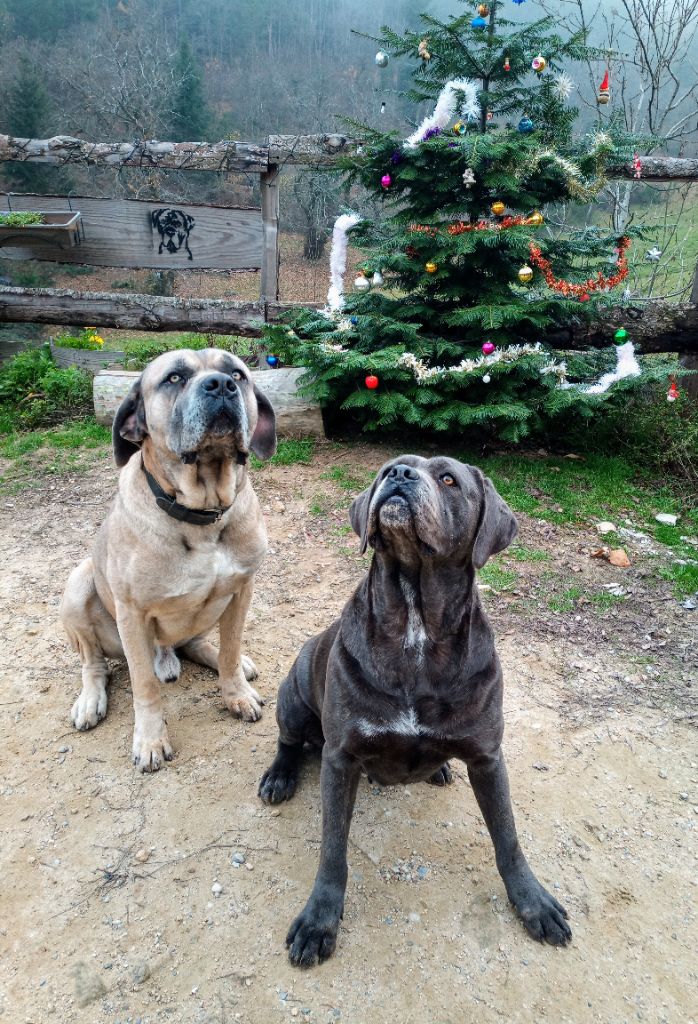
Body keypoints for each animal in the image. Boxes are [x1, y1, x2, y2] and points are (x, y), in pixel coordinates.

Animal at [257, 456, 569, 966]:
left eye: (448, 479)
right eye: (390, 467)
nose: (399, 474)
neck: (415, 623)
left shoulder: (487, 757)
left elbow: (507, 836)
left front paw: (533, 901)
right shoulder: (340, 758)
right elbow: (332, 848)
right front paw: (319, 919)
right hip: (296, 688)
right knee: (288, 739)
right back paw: (280, 776)